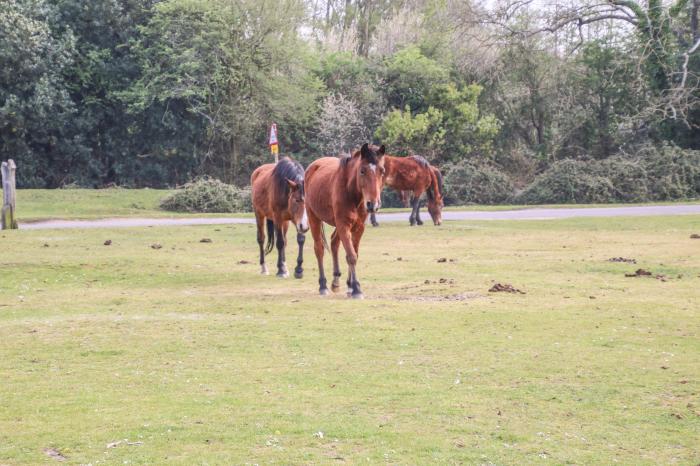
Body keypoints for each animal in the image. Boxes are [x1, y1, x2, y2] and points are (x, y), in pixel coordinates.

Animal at [304, 142, 386, 298]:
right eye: (362, 171)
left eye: (382, 171)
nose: (373, 204)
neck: (351, 192)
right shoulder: (343, 225)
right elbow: (351, 256)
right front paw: (357, 289)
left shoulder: (358, 227)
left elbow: (354, 253)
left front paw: (351, 286)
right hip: (314, 218)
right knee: (319, 249)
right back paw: (323, 286)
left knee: (334, 242)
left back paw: (336, 281)